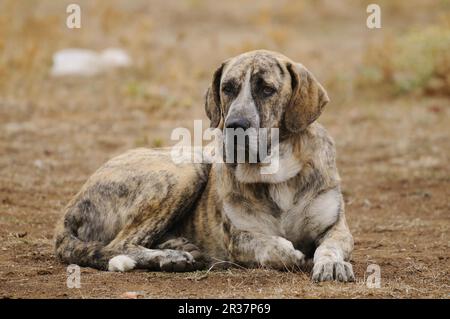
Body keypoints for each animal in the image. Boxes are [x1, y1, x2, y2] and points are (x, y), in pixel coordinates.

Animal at [53, 50, 356, 282]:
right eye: (228, 88)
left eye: (267, 89)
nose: (235, 125)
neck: (276, 174)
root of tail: (69, 210)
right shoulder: (240, 238)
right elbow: (275, 249)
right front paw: (292, 253)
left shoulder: (336, 228)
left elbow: (329, 246)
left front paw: (331, 264)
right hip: (188, 167)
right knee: (120, 244)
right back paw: (169, 256)